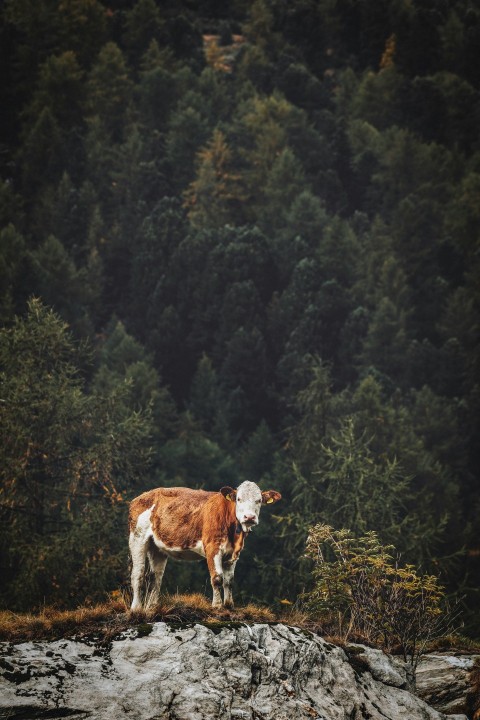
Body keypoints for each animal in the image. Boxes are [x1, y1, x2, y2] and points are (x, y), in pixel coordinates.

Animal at [129, 480, 282, 612]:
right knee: (138, 574)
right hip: (137, 538)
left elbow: (229, 581)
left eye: (259, 500)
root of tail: (141, 497)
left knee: (155, 577)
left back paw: (151, 607)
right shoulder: (212, 547)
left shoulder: (234, 553)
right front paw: (217, 605)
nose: (249, 517)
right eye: (239, 499)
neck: (234, 535)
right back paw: (136, 608)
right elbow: (217, 578)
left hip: (157, 548)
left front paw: (229, 605)